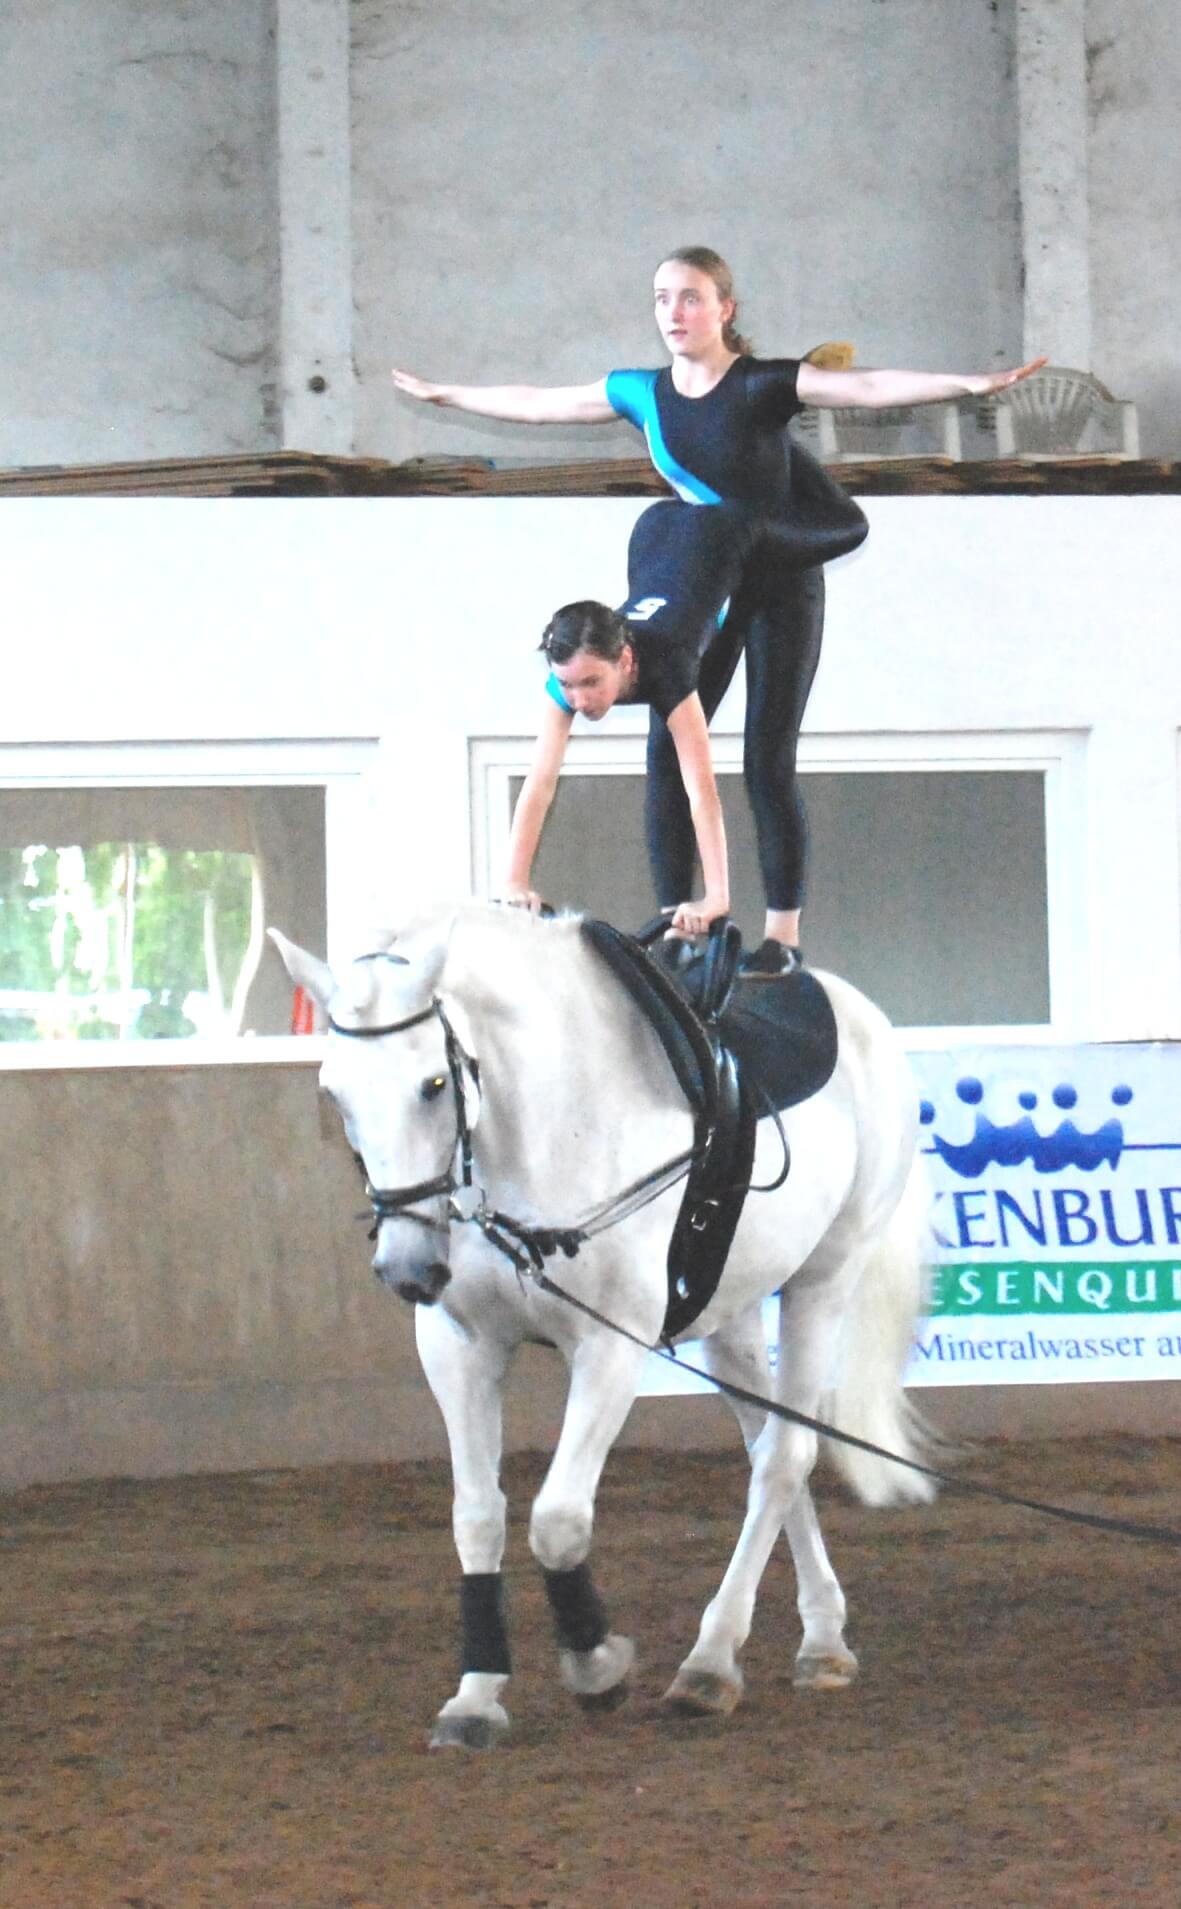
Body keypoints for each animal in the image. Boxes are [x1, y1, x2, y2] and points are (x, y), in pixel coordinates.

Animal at [272, 901, 938, 1748]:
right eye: (334, 1094)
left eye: (432, 1083)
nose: (405, 1268)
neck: (535, 1133)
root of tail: (857, 1012)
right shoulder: (458, 1348)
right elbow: (477, 1515)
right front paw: (476, 1693)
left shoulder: (610, 1345)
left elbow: (557, 1518)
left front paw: (595, 1662)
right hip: (728, 1317)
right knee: (767, 1449)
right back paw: (821, 1636)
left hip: (823, 1281)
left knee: (785, 1456)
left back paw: (710, 1663)